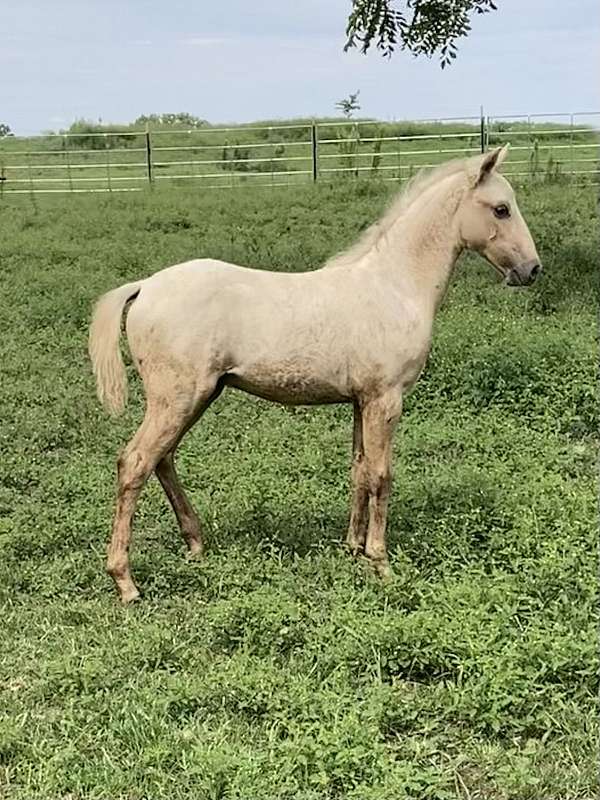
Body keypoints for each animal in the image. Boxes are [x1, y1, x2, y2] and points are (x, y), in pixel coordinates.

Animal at [89, 145, 541, 603]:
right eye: (501, 209)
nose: (531, 270)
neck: (393, 287)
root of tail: (146, 286)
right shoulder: (386, 399)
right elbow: (382, 475)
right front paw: (381, 563)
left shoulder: (361, 401)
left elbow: (360, 470)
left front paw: (353, 548)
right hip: (178, 398)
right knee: (135, 463)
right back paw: (126, 582)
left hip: (198, 397)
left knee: (162, 459)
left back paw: (195, 545)